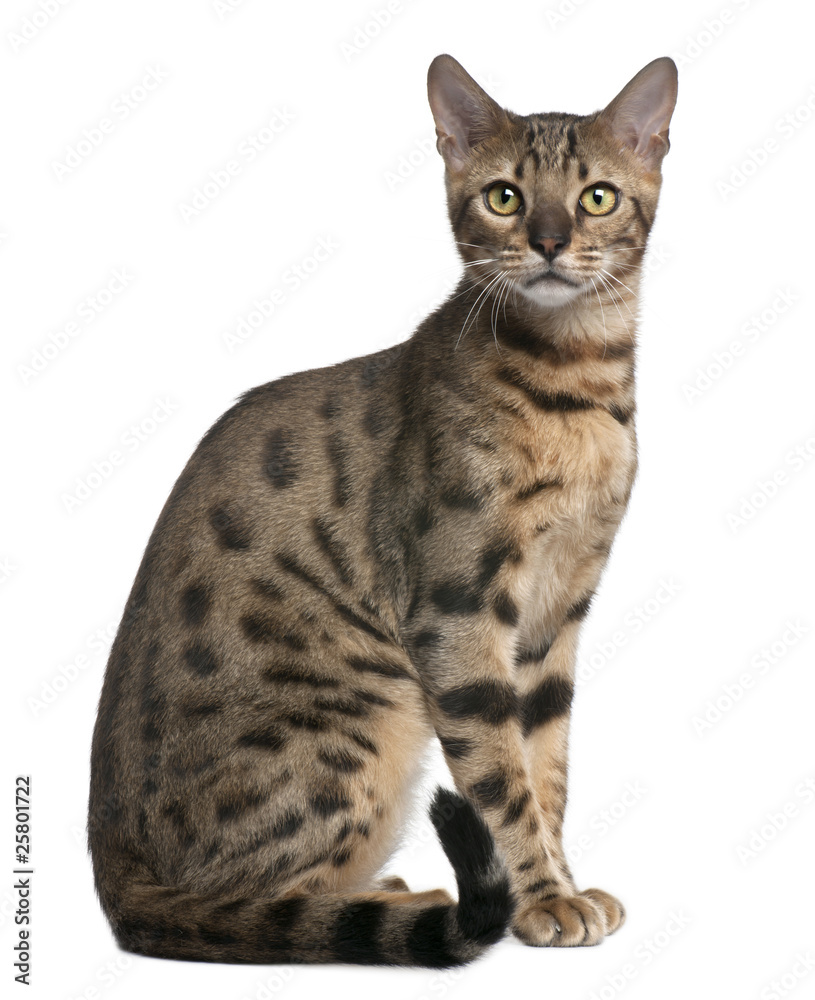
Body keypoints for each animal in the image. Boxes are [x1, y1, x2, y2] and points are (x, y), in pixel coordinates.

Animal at [87, 50, 676, 964]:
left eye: (597, 197)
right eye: (503, 196)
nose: (548, 242)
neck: (575, 392)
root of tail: (113, 880)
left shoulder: (557, 612)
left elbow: (546, 768)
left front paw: (564, 885)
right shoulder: (457, 610)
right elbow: (502, 778)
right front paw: (544, 899)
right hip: (363, 721)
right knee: (240, 911)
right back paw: (413, 901)